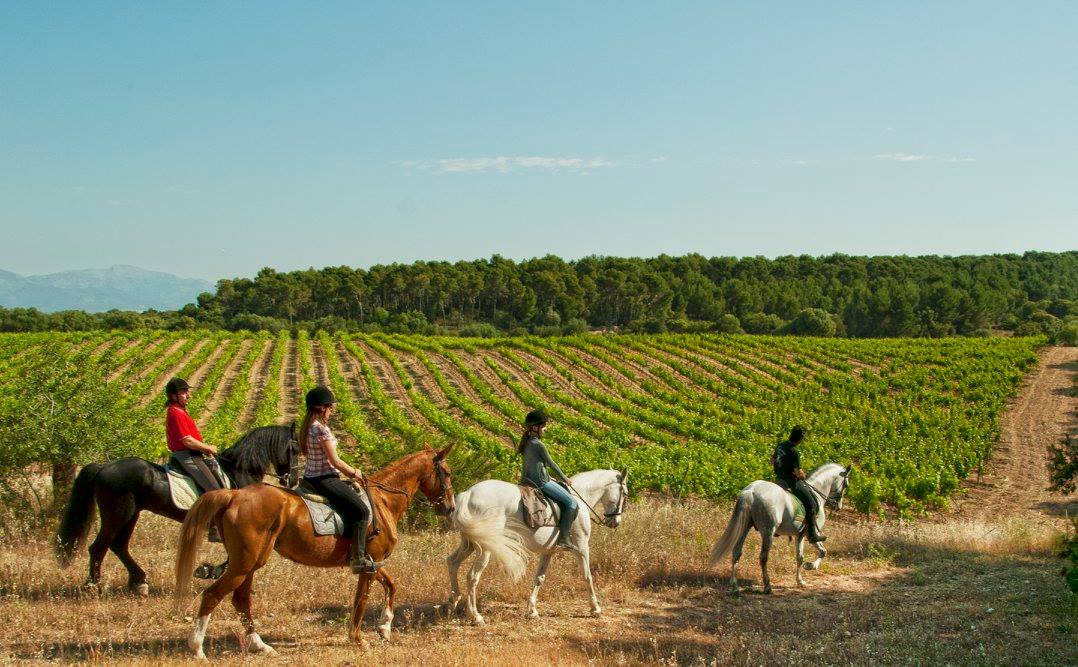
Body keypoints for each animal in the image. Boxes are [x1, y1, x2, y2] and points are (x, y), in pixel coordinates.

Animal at [174, 446, 452, 659]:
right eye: (447, 473)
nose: (449, 508)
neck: (383, 500)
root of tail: (234, 495)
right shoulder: (368, 563)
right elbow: (361, 600)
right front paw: (358, 638)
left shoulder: (374, 562)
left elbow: (391, 585)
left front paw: (384, 627)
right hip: (244, 564)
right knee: (212, 595)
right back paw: (197, 648)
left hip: (249, 564)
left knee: (240, 600)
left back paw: (259, 645)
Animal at [441, 467, 629, 624]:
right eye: (625, 493)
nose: (616, 522)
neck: (579, 498)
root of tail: (468, 493)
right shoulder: (582, 547)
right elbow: (587, 576)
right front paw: (595, 608)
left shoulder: (548, 551)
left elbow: (539, 578)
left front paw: (532, 610)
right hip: (485, 548)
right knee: (472, 576)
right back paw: (475, 615)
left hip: (470, 544)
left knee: (452, 563)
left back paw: (452, 602)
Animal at [707, 465, 849, 594]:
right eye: (846, 485)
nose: (838, 507)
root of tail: (751, 491)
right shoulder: (809, 535)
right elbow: (821, 552)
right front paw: (810, 567)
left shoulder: (799, 535)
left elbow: (801, 557)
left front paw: (800, 580)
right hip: (768, 531)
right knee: (763, 557)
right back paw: (767, 586)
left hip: (745, 527)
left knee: (737, 552)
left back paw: (735, 587)